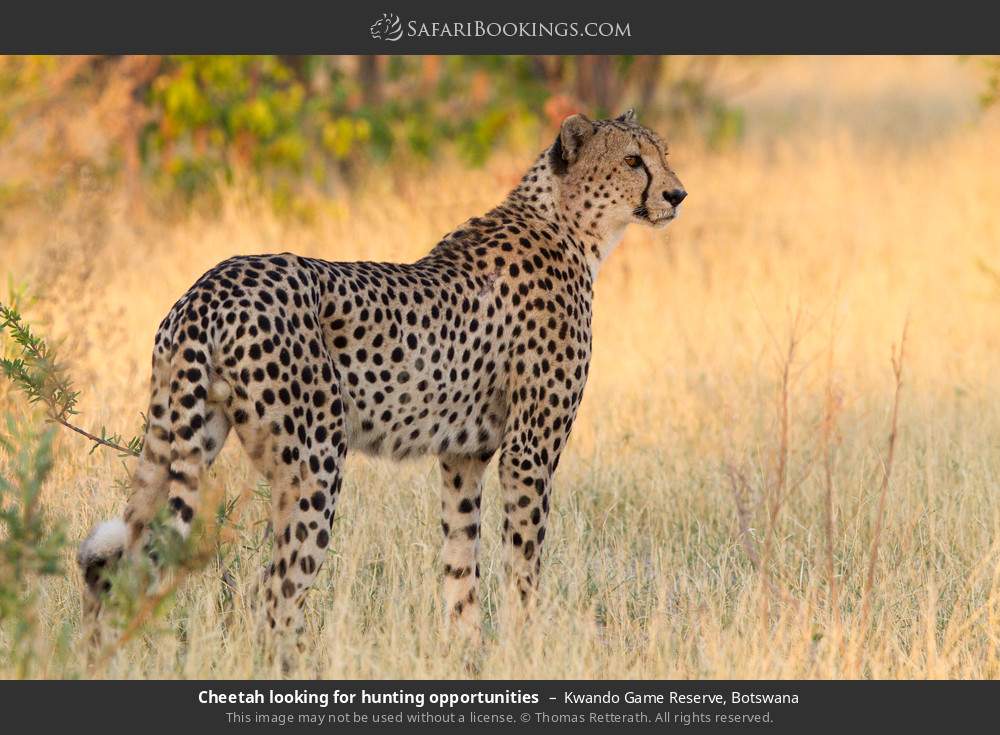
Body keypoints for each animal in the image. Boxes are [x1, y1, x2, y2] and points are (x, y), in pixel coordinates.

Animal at [77, 109, 686, 653]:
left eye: (662, 153)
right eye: (633, 160)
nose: (677, 195)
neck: (568, 223)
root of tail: (210, 284)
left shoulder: (463, 457)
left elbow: (461, 562)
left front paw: (466, 652)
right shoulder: (528, 451)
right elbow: (523, 562)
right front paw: (527, 644)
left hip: (180, 441)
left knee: (116, 567)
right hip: (315, 460)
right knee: (272, 588)